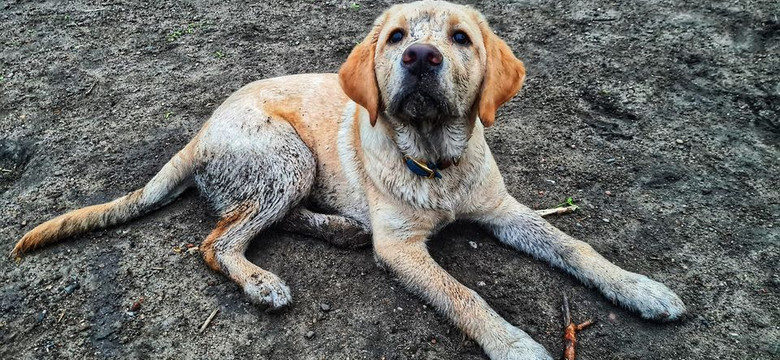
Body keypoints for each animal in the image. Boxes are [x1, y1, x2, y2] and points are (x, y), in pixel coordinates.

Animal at [12, 1, 684, 358]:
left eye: (460, 38)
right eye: (396, 37)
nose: (420, 58)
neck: (435, 161)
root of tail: (200, 131)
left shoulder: (505, 211)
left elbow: (575, 245)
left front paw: (641, 288)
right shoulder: (402, 249)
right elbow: (466, 296)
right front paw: (514, 344)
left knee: (262, 219)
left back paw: (337, 230)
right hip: (287, 157)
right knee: (218, 239)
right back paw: (261, 281)